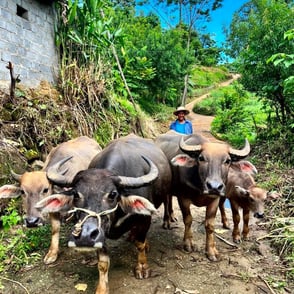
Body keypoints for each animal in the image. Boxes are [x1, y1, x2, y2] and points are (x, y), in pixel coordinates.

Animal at [34, 135, 172, 294]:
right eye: (76, 194)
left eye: (112, 194)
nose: (84, 237)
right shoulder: (100, 234)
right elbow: (103, 262)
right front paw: (102, 288)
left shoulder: (144, 219)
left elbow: (140, 244)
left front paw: (142, 268)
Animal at [156, 131, 250, 262]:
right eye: (201, 158)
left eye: (228, 160)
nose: (214, 187)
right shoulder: (183, 198)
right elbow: (188, 219)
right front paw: (188, 243)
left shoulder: (214, 200)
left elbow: (210, 225)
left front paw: (211, 251)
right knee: (166, 200)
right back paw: (166, 221)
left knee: (169, 199)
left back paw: (172, 216)